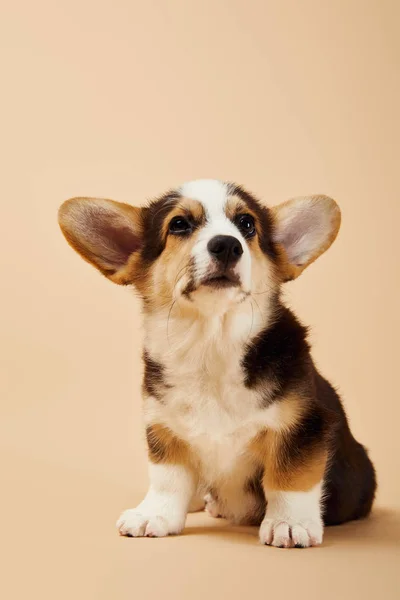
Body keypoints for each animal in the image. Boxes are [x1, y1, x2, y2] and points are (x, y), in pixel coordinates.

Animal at [58, 179, 376, 548]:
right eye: (179, 224)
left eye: (247, 224)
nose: (227, 245)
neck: (210, 343)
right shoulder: (164, 428)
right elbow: (167, 478)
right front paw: (155, 514)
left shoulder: (303, 426)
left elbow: (289, 477)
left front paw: (289, 523)